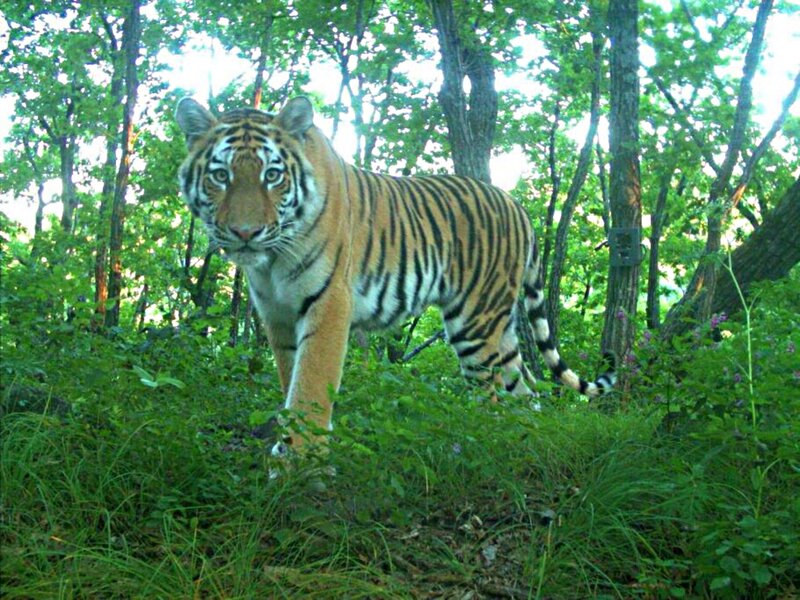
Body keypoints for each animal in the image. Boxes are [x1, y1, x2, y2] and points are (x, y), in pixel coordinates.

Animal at [175, 96, 615, 456]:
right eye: (220, 176)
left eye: (272, 176)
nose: (245, 233)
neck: (271, 261)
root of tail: (517, 205)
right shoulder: (277, 313)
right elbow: (290, 380)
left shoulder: (328, 303)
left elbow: (311, 385)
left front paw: (300, 467)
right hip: (498, 324)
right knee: (524, 386)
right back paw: (526, 445)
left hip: (475, 323)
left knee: (492, 393)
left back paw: (490, 449)